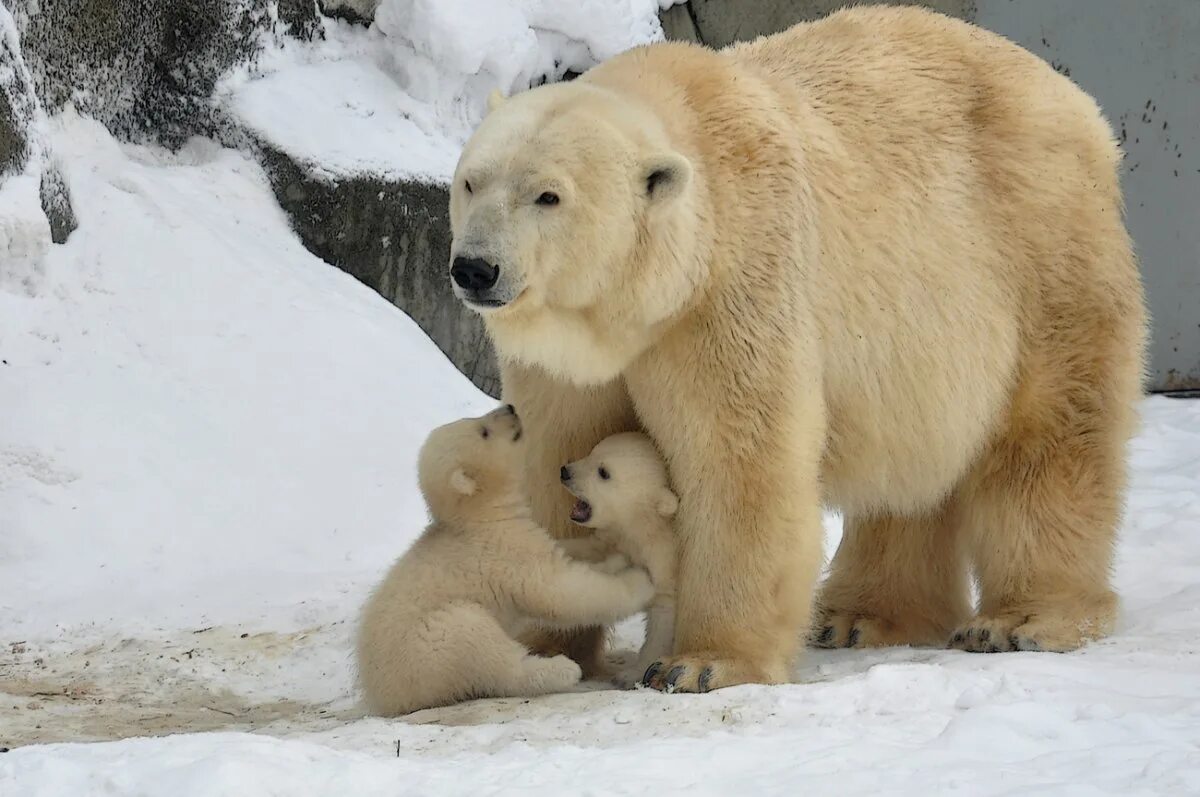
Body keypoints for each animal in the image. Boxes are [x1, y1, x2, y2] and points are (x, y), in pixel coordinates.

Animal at [355, 405, 657, 715]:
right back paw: (560, 669)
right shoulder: (505, 552)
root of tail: (383, 696)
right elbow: (561, 590)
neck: (480, 517)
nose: (509, 408)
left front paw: (616, 559)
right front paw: (639, 580)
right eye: (484, 431)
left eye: (473, 420)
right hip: (428, 647)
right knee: (482, 645)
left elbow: (566, 554)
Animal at [556, 432, 681, 686]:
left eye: (603, 472)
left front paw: (631, 675)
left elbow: (662, 619)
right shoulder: (613, 538)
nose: (565, 471)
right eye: (592, 452)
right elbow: (590, 549)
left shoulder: (663, 561)